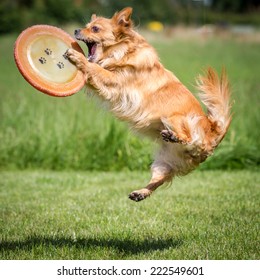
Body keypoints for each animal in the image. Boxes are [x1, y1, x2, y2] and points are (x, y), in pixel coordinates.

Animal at [66, 7, 233, 202]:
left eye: (95, 29)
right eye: (86, 26)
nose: (76, 30)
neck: (122, 52)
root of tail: (213, 132)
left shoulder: (114, 80)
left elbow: (95, 68)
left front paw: (77, 57)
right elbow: (93, 71)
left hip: (173, 119)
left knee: (188, 137)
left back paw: (174, 136)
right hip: (163, 163)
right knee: (158, 180)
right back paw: (141, 193)